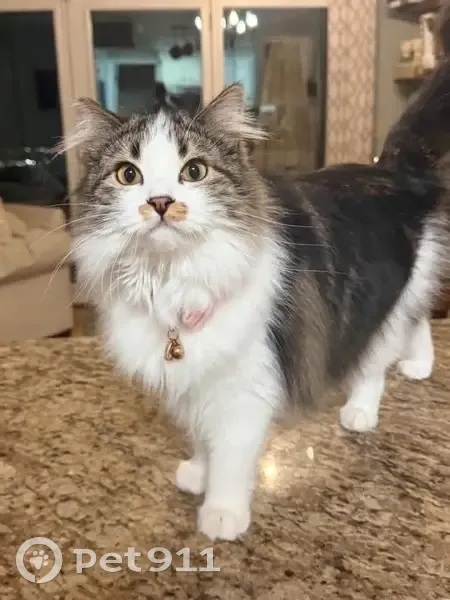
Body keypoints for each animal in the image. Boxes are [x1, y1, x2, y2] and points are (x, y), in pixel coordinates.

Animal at [65, 62, 449, 541]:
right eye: (128, 175)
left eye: (194, 171)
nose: (161, 202)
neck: (174, 280)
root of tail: (396, 173)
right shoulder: (194, 379)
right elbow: (202, 439)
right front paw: (198, 472)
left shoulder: (245, 386)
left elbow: (230, 457)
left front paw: (222, 512)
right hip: (405, 289)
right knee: (419, 321)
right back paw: (419, 365)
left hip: (378, 303)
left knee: (377, 359)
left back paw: (360, 410)